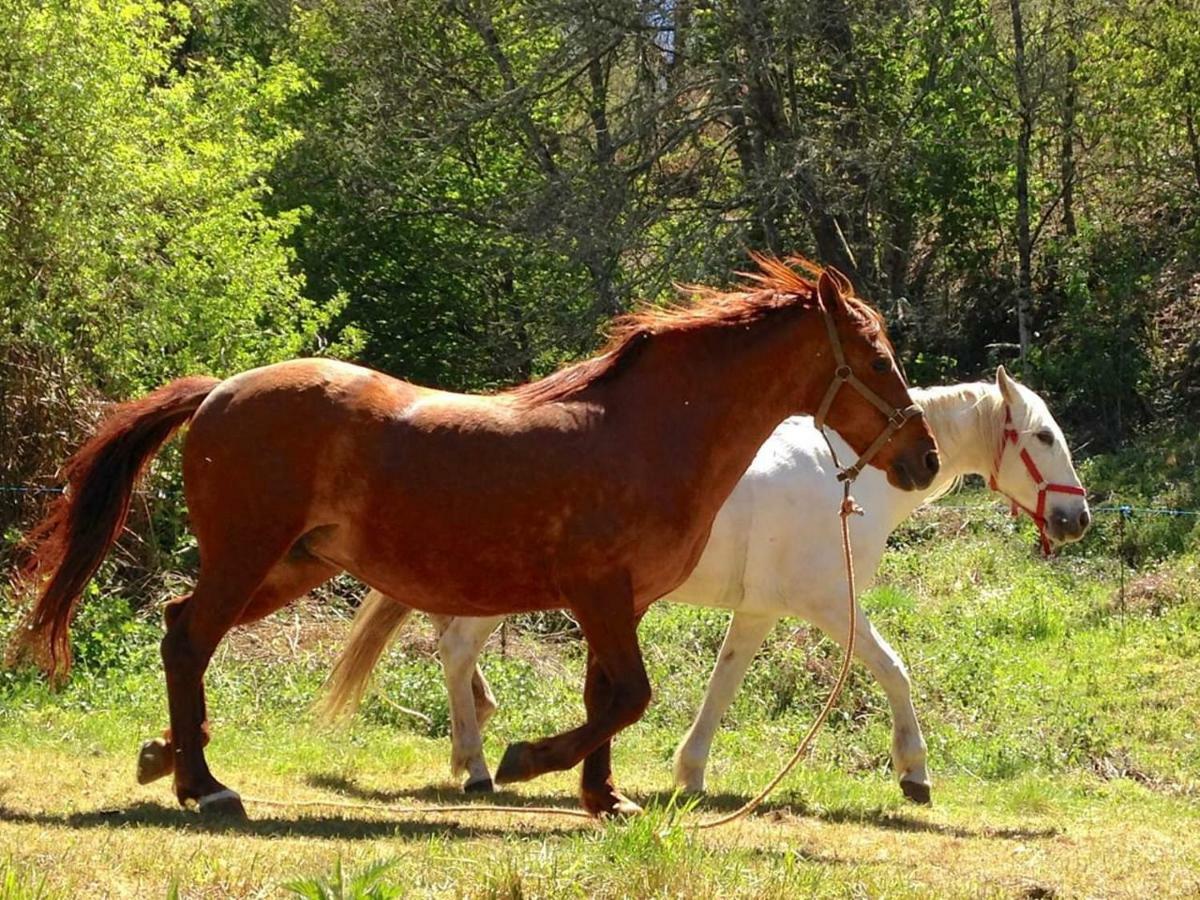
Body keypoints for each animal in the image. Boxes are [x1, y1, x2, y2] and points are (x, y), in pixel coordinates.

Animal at [14, 256, 940, 820]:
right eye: (877, 356)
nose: (923, 457)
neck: (648, 433)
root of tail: (218, 391)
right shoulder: (600, 594)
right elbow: (627, 698)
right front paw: (528, 761)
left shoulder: (620, 602)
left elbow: (608, 698)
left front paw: (604, 800)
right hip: (248, 559)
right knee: (189, 639)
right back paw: (205, 785)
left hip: (288, 567)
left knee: (180, 630)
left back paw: (166, 757)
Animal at [324, 367, 1094, 801]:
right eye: (1044, 437)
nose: (1077, 516)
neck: (852, 481)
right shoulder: (831, 605)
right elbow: (895, 672)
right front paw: (914, 774)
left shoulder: (759, 612)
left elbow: (724, 685)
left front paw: (689, 775)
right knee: (456, 651)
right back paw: (481, 768)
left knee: (454, 652)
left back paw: (468, 755)